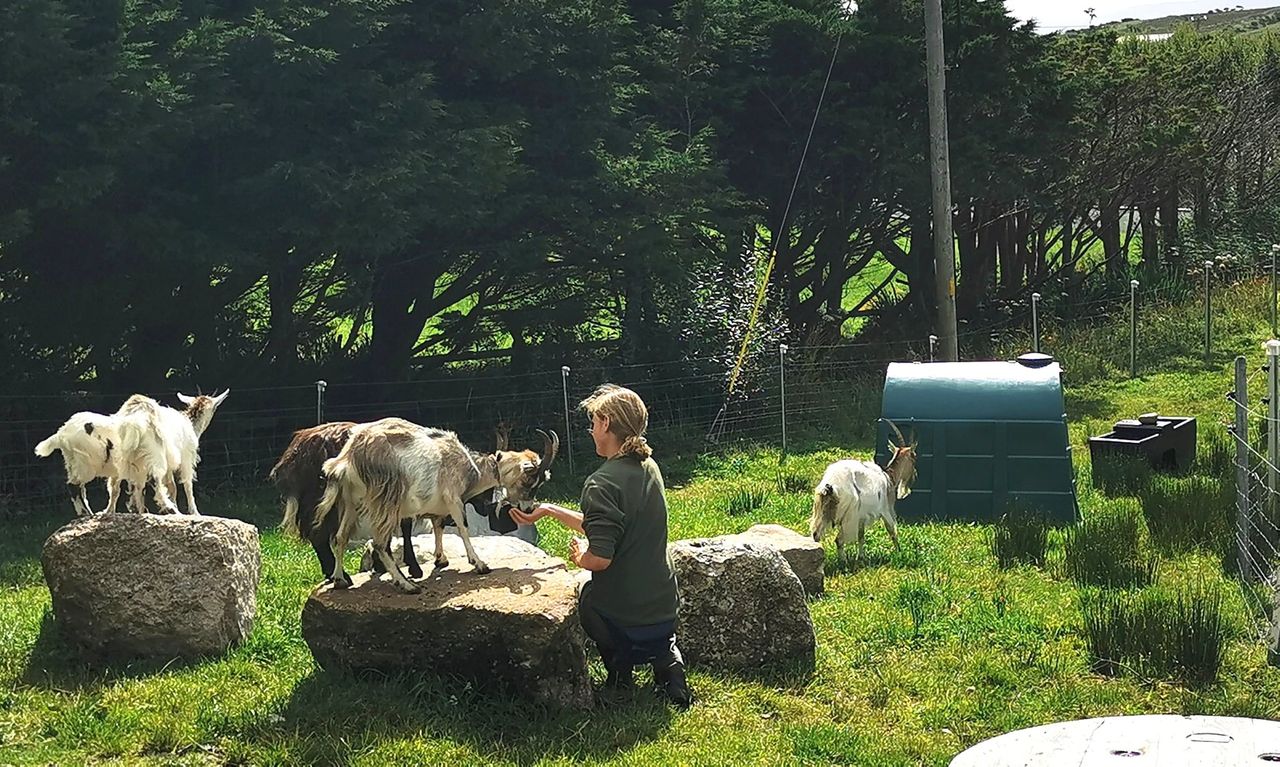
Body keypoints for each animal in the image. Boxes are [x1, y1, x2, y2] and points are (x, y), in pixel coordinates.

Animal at [314, 418, 558, 593]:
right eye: (531, 482)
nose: (529, 509)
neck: (470, 467)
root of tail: (347, 459)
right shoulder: (453, 498)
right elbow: (463, 527)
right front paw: (479, 564)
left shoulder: (438, 507)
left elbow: (439, 526)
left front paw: (441, 559)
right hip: (387, 500)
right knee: (380, 543)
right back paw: (407, 585)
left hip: (351, 501)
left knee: (340, 537)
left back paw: (340, 581)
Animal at [809, 419, 918, 562]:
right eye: (914, 457)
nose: (915, 475)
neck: (889, 477)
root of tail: (830, 485)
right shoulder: (885, 509)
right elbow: (892, 530)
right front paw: (899, 553)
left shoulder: (862, 517)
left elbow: (861, 536)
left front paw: (861, 556)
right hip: (849, 516)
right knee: (839, 540)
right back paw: (843, 562)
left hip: (822, 511)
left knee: (816, 534)